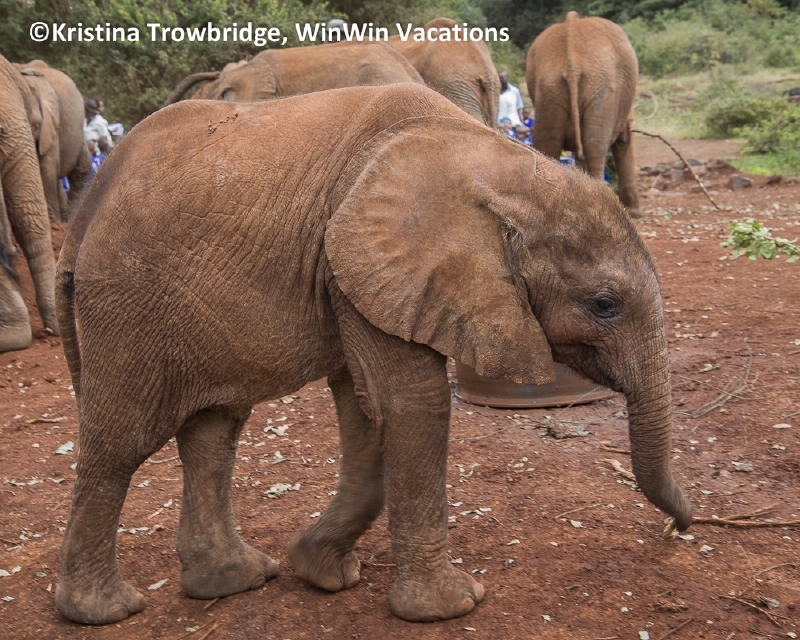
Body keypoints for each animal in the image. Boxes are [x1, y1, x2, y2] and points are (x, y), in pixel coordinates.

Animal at [55, 82, 691, 626]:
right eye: (604, 305)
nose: (682, 529)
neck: (500, 164)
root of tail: (85, 211)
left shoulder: (354, 274)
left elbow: (365, 408)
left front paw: (320, 572)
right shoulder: (370, 257)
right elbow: (412, 403)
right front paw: (450, 608)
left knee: (213, 432)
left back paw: (237, 580)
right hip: (126, 297)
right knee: (122, 442)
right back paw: (103, 611)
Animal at [526, 11, 641, 216]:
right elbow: (622, 142)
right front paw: (634, 213)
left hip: (549, 87)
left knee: (548, 144)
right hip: (601, 87)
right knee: (595, 146)